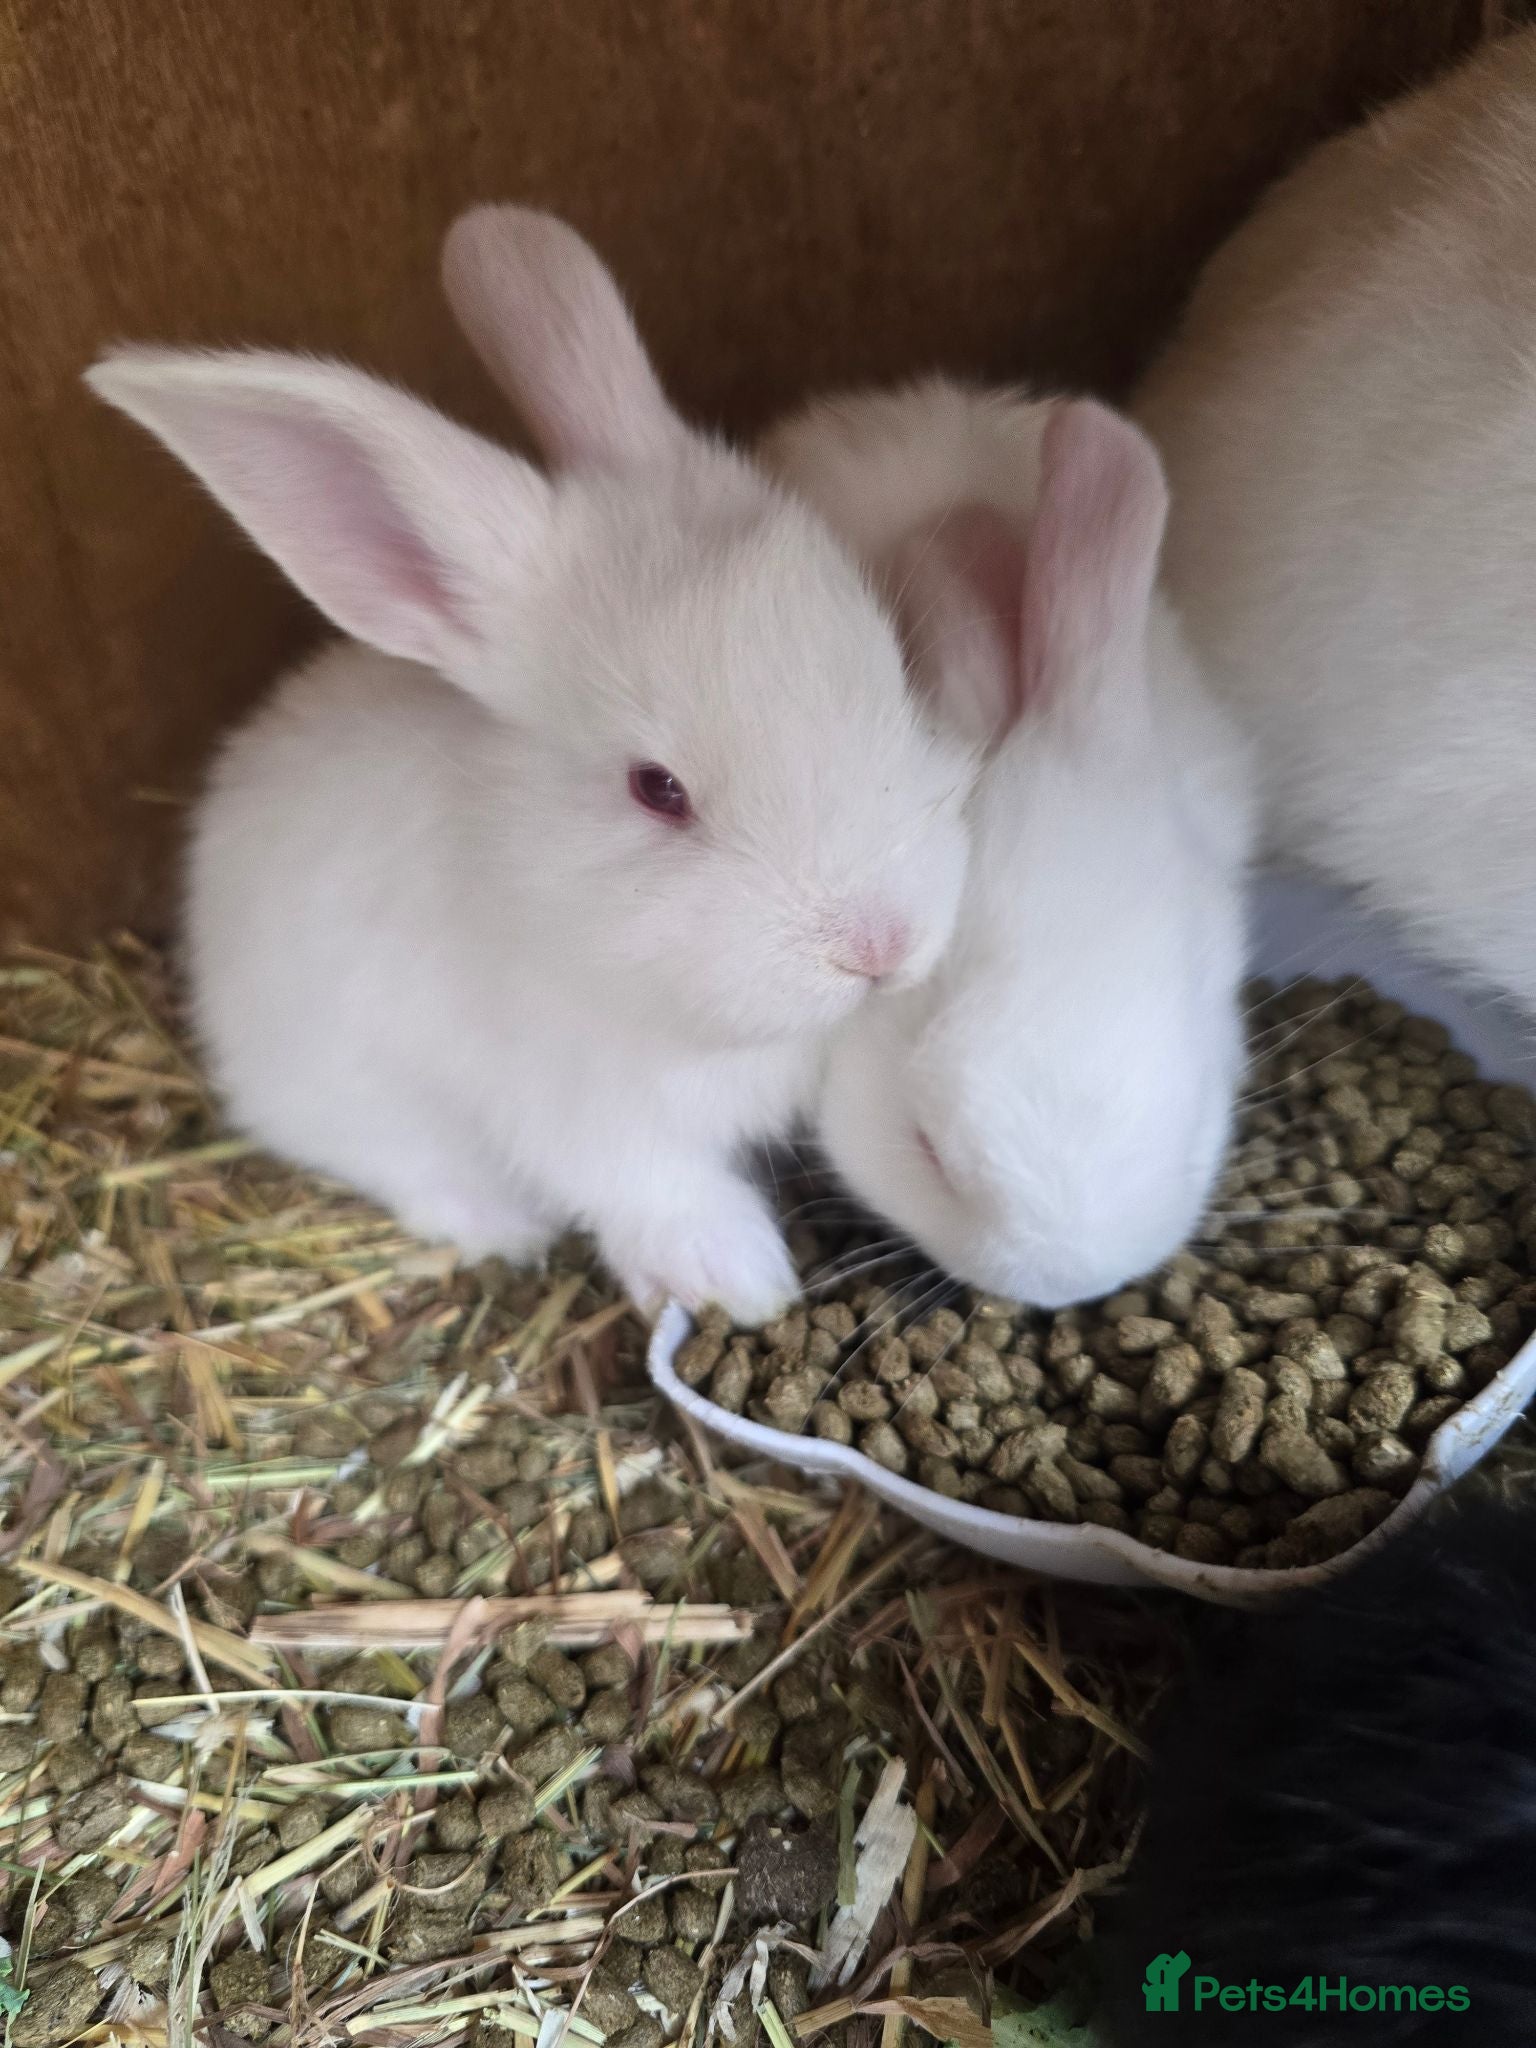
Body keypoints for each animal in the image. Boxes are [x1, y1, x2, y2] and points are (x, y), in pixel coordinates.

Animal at [86, 207, 975, 1327]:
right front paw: (744, 1284)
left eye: (891, 666)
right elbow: (655, 1189)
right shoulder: (582, 1113)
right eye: (657, 788)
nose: (881, 946)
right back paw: (499, 1224)